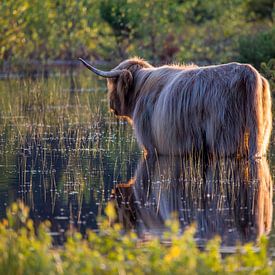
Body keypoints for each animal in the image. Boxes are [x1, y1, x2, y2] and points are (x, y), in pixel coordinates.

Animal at [78, 57, 272, 158]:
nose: (112, 106)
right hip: (258, 134)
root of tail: (247, 71)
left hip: (223, 136)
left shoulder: (150, 143)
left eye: (112, 85)